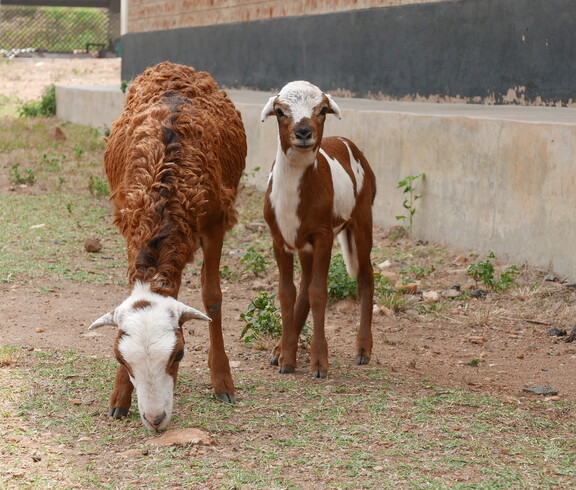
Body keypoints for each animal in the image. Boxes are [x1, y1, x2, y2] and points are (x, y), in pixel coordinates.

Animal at [90, 61, 247, 430]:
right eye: (119, 357)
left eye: (180, 354)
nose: (155, 418)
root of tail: (175, 67)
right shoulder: (128, 220)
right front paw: (119, 398)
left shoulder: (215, 221)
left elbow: (213, 298)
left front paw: (223, 381)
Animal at [261, 81, 376, 378]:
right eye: (280, 111)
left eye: (322, 110)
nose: (304, 132)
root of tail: (347, 141)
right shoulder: (279, 238)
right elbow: (287, 292)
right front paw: (287, 360)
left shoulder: (324, 235)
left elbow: (319, 293)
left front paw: (319, 364)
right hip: (303, 243)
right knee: (303, 286)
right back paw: (280, 352)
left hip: (362, 218)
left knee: (365, 276)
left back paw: (362, 350)